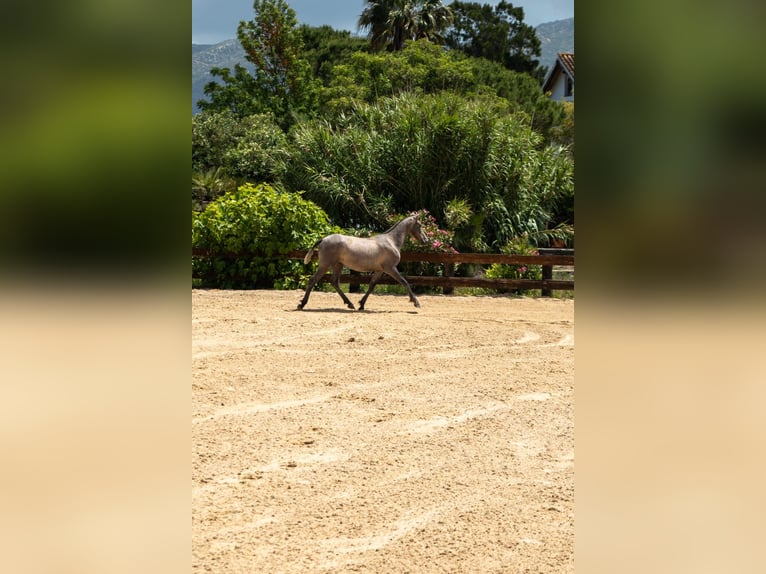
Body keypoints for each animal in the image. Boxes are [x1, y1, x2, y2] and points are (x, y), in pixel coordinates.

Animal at [297, 215, 429, 311]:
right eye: (420, 225)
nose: (426, 240)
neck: (391, 241)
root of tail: (323, 239)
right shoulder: (390, 268)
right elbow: (404, 282)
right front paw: (416, 302)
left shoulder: (380, 270)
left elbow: (371, 286)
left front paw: (361, 304)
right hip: (325, 265)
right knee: (313, 280)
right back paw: (302, 304)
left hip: (338, 265)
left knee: (335, 282)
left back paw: (350, 304)